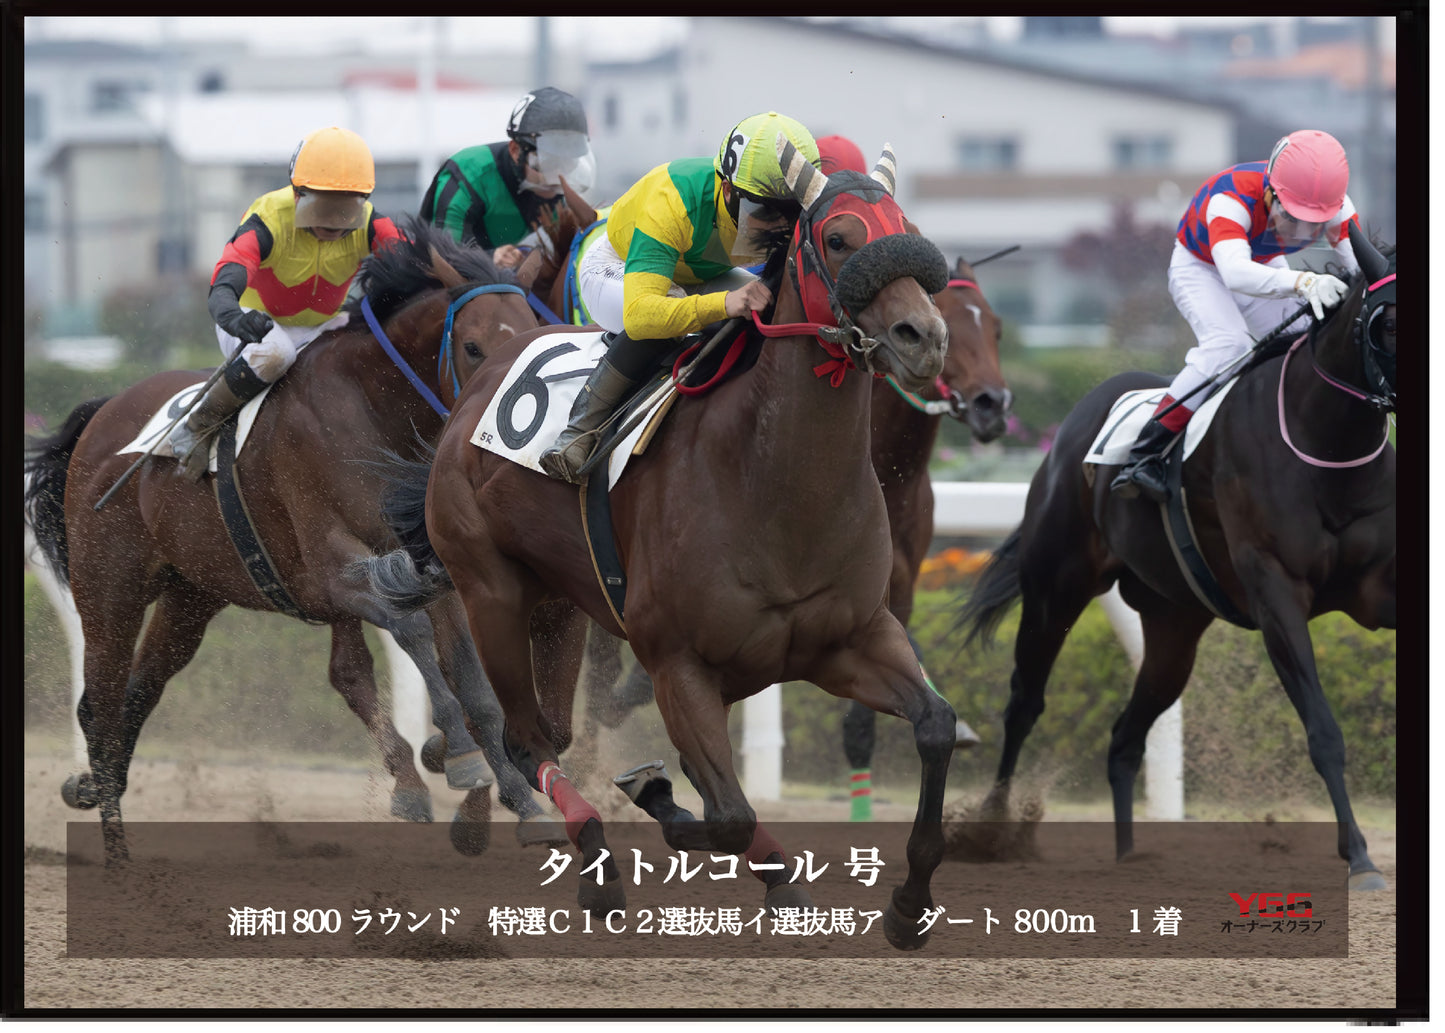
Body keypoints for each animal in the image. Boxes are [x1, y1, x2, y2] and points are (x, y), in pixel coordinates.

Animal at [22, 221, 546, 865]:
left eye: (532, 335)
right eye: (473, 347)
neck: (372, 408)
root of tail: (101, 413)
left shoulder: (428, 569)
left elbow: (470, 677)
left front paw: (521, 799)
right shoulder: (333, 568)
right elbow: (411, 631)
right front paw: (460, 761)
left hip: (190, 596)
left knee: (138, 692)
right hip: (109, 590)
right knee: (99, 704)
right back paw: (117, 854)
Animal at [364, 140, 962, 950]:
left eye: (910, 231)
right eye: (838, 238)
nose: (923, 338)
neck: (770, 480)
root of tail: (473, 391)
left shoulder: (853, 638)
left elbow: (934, 725)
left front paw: (908, 903)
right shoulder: (679, 663)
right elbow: (726, 812)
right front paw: (655, 794)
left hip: (558, 604)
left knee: (555, 729)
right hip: (491, 590)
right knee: (526, 739)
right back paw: (594, 864)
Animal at [957, 222, 1396, 889]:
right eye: (1386, 322)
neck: (1326, 446)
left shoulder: (1382, 589)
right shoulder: (1276, 593)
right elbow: (1322, 730)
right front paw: (1362, 858)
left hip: (1174, 625)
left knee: (1124, 736)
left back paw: (1130, 852)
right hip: (1055, 589)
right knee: (1024, 703)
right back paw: (992, 829)